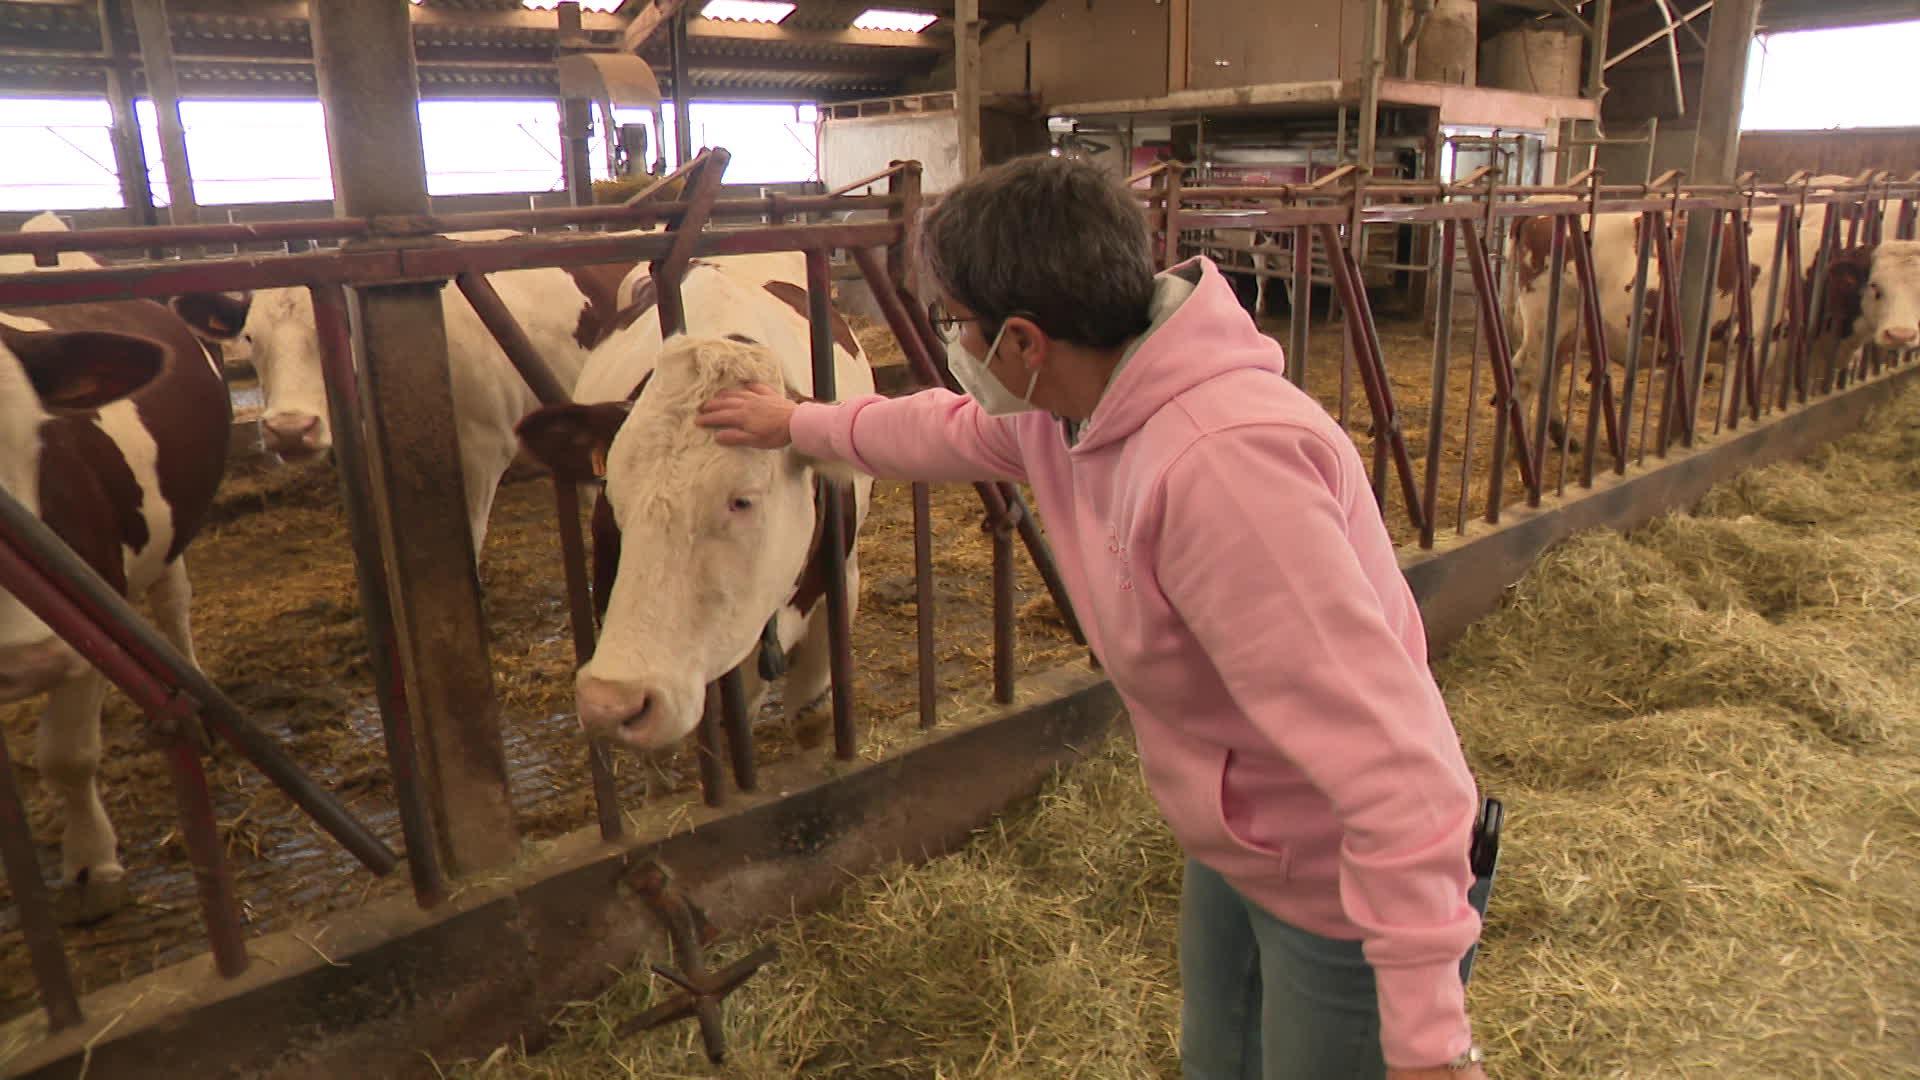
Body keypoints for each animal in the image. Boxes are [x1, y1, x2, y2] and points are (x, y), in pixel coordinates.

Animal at [0, 226, 240, 914]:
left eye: (37, 437)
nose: (25, 660)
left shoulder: (90, 604)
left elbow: (68, 756)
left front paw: (92, 867)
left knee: (172, 603)